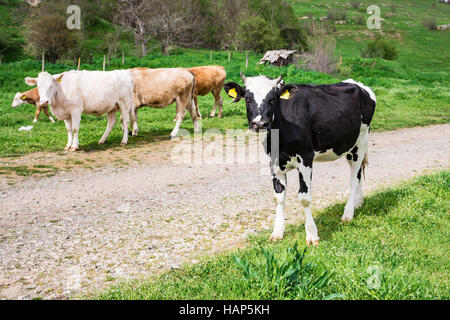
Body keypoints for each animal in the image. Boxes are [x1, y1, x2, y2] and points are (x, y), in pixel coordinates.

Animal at [225, 74, 376, 246]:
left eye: (272, 99)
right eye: (248, 98)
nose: (260, 123)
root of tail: (358, 84)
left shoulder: (305, 158)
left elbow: (304, 198)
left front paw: (312, 235)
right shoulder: (274, 162)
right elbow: (278, 197)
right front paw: (277, 232)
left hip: (361, 141)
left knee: (354, 177)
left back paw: (348, 213)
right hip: (349, 146)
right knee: (358, 173)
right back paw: (358, 202)